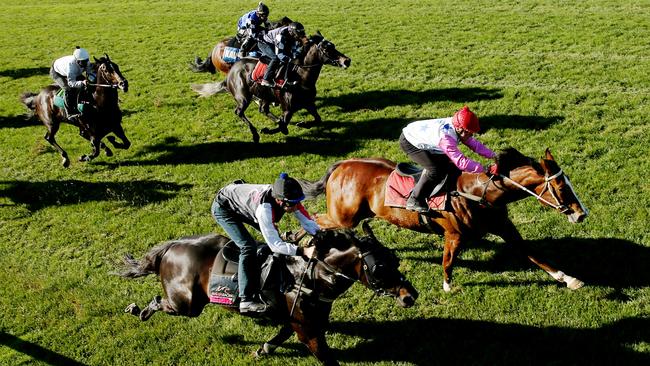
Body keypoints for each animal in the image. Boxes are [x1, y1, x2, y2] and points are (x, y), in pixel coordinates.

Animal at [119, 223, 418, 364]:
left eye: (395, 259)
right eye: (379, 267)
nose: (410, 295)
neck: (311, 275)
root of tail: (171, 247)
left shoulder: (300, 320)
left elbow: (282, 333)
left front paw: (263, 349)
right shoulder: (307, 330)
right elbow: (327, 358)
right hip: (188, 304)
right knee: (160, 302)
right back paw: (138, 310)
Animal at [190, 32, 350, 143]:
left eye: (333, 46)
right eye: (327, 49)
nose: (346, 60)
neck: (300, 78)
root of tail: (230, 74)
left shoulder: (309, 104)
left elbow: (317, 119)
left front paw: (302, 124)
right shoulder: (287, 109)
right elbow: (283, 124)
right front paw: (268, 130)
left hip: (264, 94)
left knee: (263, 109)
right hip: (243, 96)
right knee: (239, 112)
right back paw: (255, 134)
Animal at [296, 147, 588, 294]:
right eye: (561, 187)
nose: (581, 213)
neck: (477, 193)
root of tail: (342, 165)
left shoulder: (505, 228)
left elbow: (533, 254)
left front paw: (569, 279)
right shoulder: (454, 235)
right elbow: (448, 261)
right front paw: (448, 286)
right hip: (344, 216)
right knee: (315, 220)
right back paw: (303, 242)